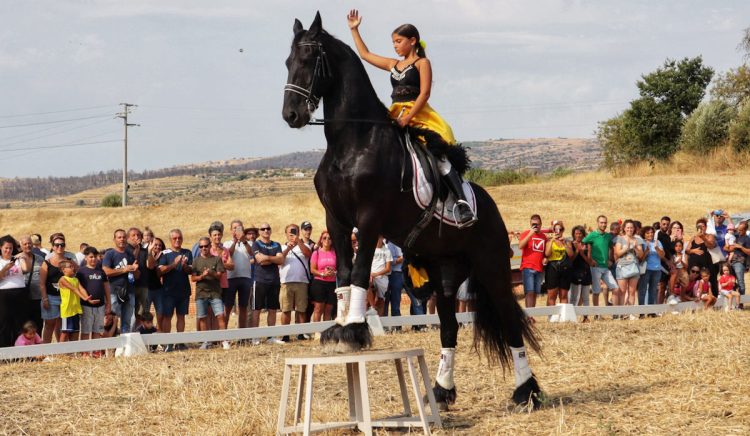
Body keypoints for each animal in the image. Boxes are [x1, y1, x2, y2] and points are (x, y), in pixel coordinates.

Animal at [284, 12, 544, 408]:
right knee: (449, 327)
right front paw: (339, 327)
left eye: (309, 59)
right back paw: (440, 391)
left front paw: (355, 330)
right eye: (288, 62)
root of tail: (492, 210)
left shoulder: (369, 218)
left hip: (491, 267)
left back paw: (525, 391)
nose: (291, 114)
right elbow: (342, 273)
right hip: (444, 273)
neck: (352, 142)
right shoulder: (336, 221)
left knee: (510, 322)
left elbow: (359, 271)